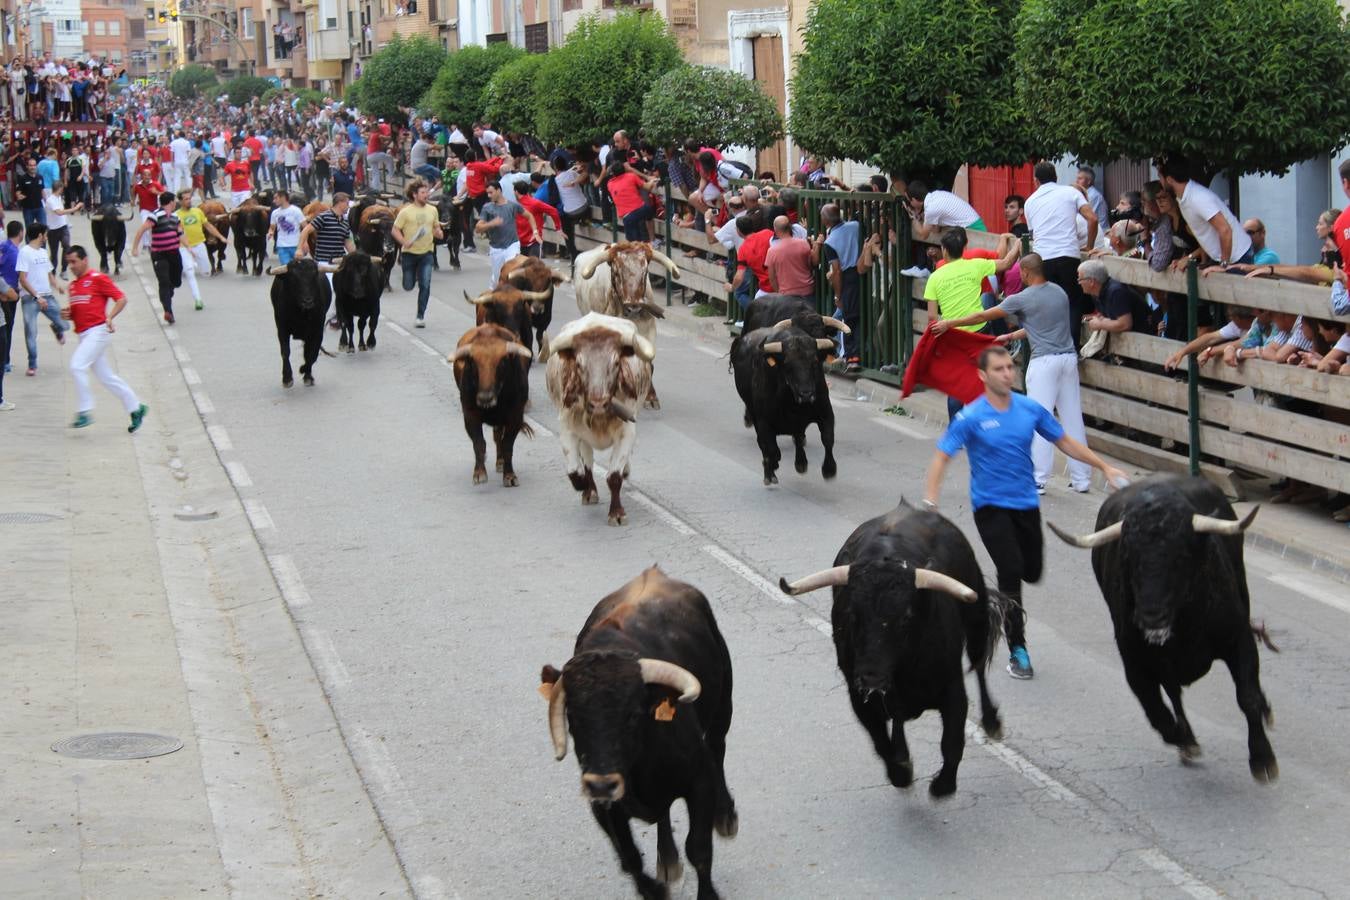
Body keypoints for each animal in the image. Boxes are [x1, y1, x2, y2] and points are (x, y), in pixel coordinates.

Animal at [537, 569, 734, 900]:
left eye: (632, 715)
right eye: (573, 718)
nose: (601, 784)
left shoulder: (700, 780)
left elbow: (699, 849)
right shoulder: (603, 806)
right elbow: (628, 858)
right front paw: (655, 889)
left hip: (723, 707)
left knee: (718, 747)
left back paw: (726, 816)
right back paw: (667, 861)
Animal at [545, 315, 656, 528]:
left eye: (615, 363)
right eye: (579, 364)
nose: (598, 403)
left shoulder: (627, 432)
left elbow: (614, 476)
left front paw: (617, 513)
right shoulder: (568, 430)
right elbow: (575, 470)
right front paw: (582, 485)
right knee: (588, 461)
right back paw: (589, 491)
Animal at [572, 238, 680, 407]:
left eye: (645, 272)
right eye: (616, 272)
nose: (634, 308)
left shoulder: (648, 330)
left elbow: (648, 361)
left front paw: (651, 397)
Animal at [777, 504, 1009, 798]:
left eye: (906, 618)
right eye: (852, 615)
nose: (871, 677)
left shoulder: (953, 691)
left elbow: (952, 742)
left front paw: (942, 785)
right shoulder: (859, 697)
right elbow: (881, 742)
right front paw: (902, 771)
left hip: (976, 619)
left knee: (978, 666)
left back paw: (992, 722)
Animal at [1047, 477, 1279, 782]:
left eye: (1180, 556)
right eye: (1128, 557)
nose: (1151, 616)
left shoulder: (1239, 640)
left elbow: (1247, 696)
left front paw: (1263, 759)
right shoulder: (1134, 662)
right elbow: (1155, 709)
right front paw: (1183, 739)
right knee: (1172, 695)